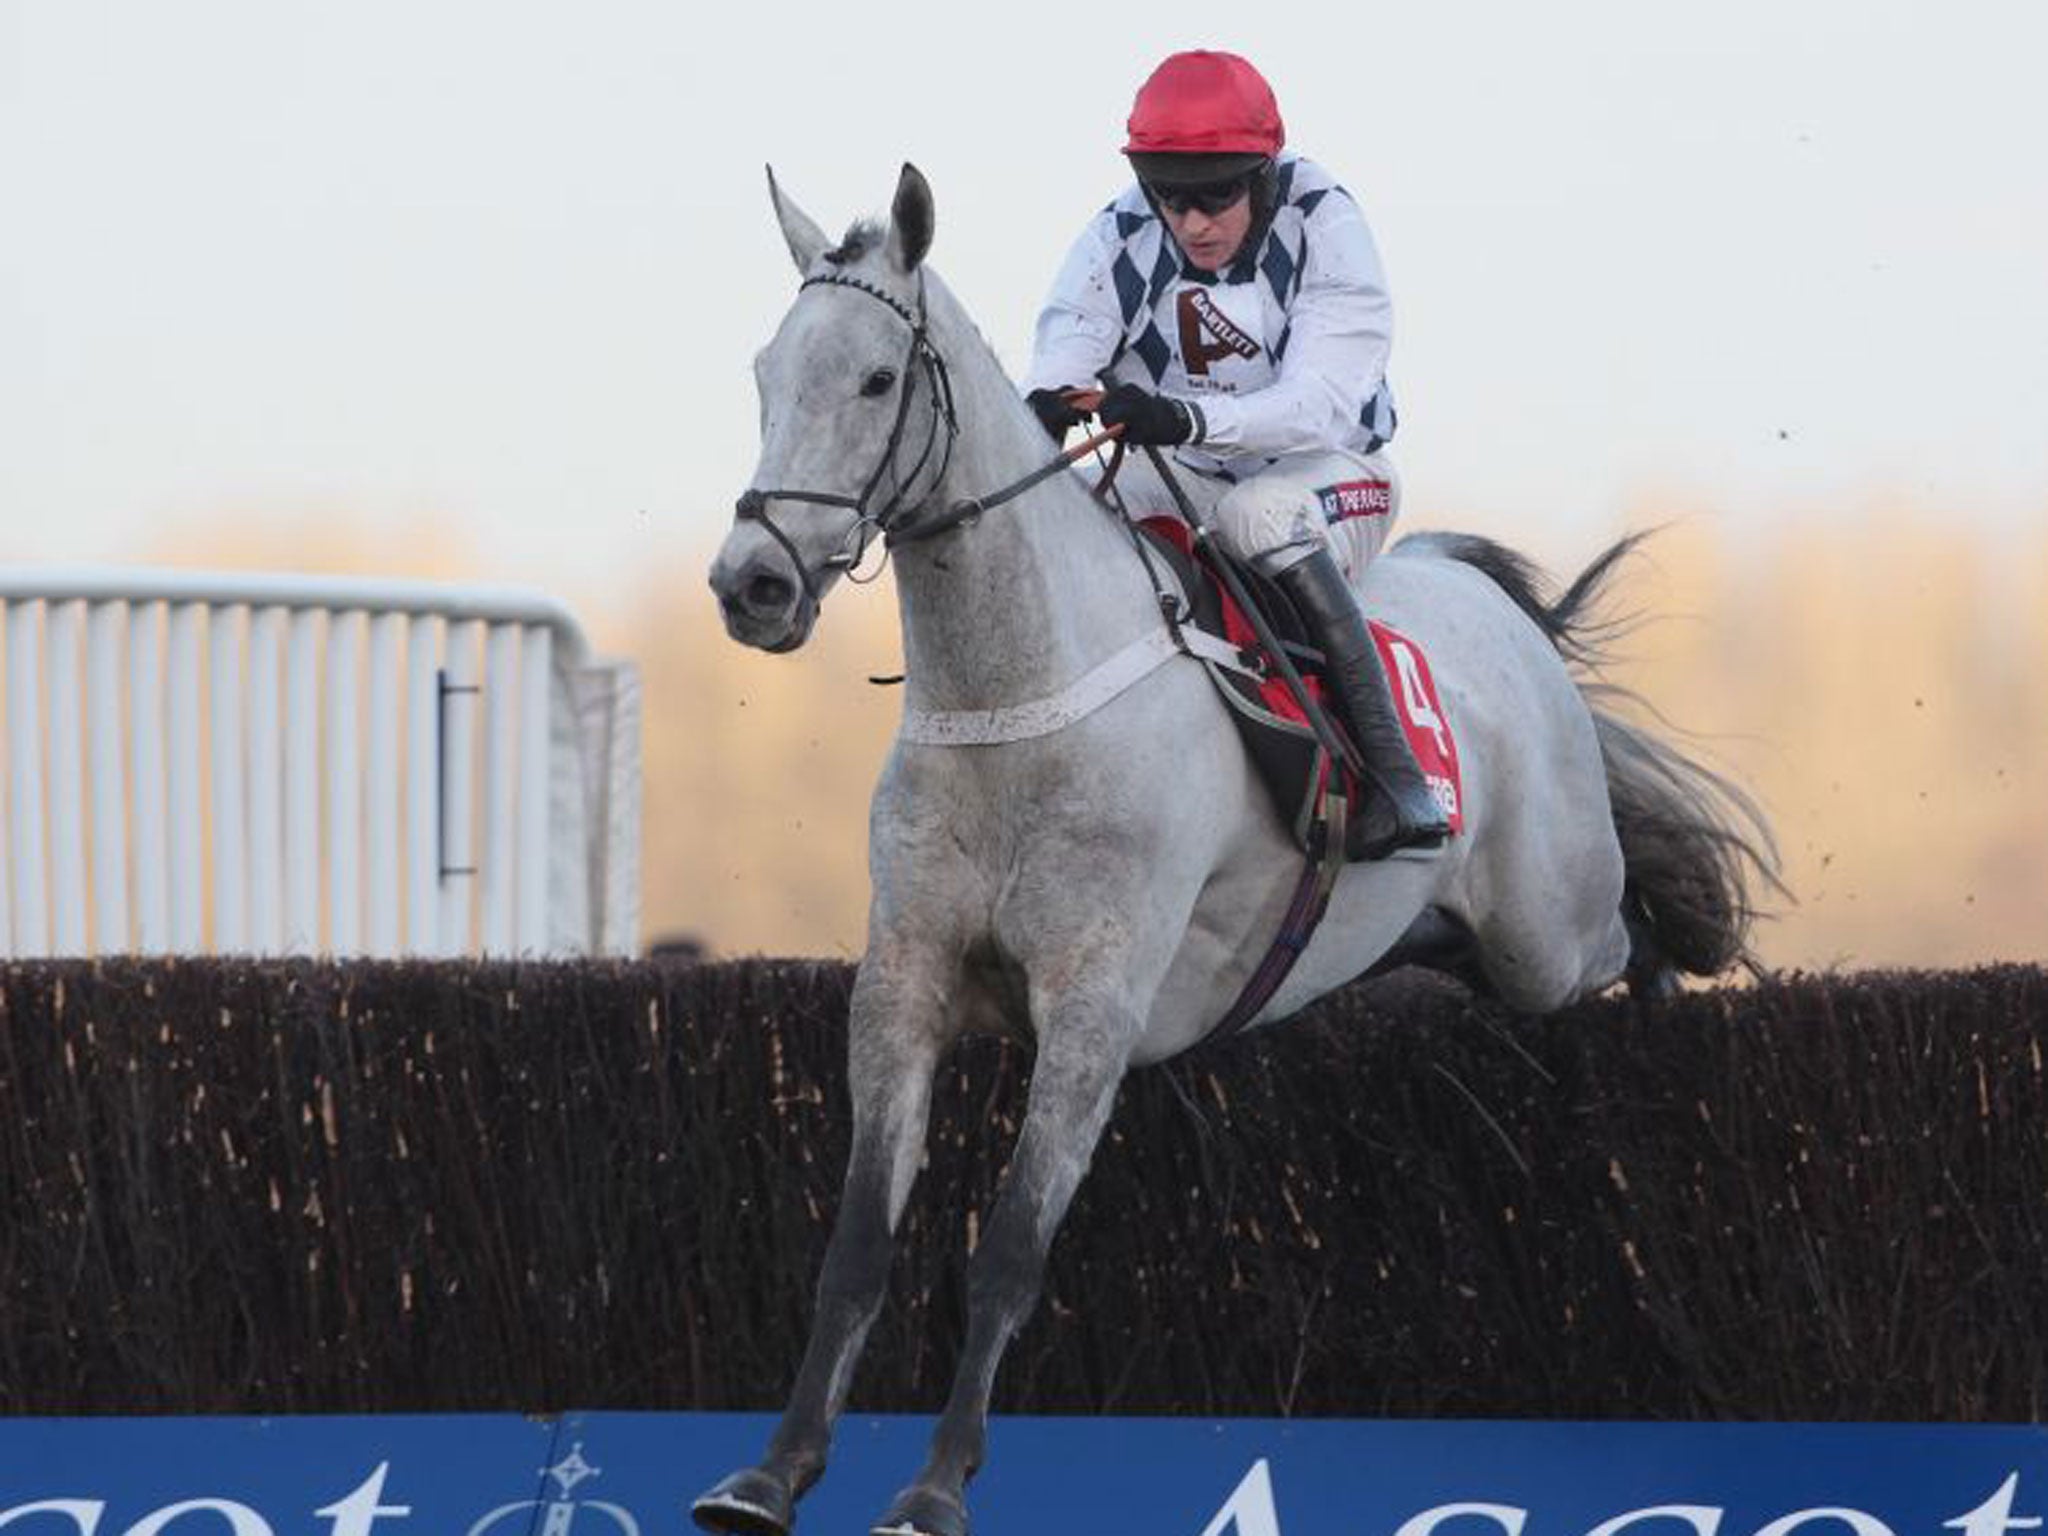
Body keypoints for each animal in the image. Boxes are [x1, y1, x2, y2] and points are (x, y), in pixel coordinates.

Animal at [692, 167, 1777, 1536]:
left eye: (879, 381)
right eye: (765, 372)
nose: (752, 585)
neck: (1017, 700)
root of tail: (1481, 600)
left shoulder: (1093, 1003)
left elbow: (1008, 1252)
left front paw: (934, 1487)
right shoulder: (903, 987)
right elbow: (854, 1249)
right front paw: (768, 1473)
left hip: (1548, 926)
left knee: (1621, 937)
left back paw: (1666, 985)